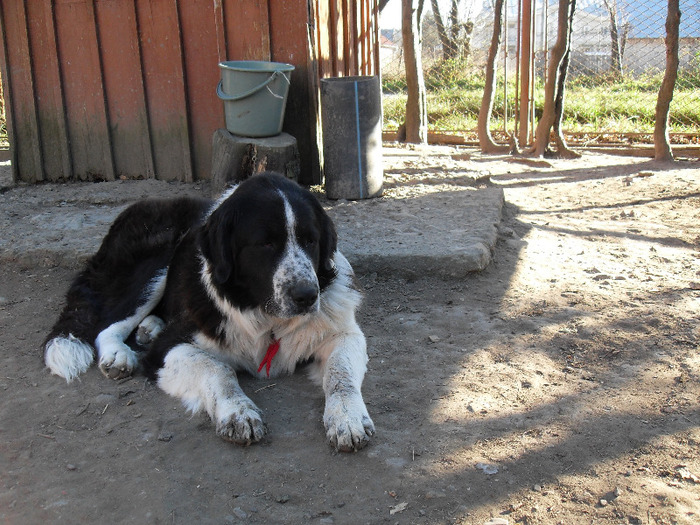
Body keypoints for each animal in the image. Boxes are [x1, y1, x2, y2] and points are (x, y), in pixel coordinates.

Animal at [43, 172, 374, 450]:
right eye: (266, 243)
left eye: (310, 240)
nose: (307, 295)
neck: (266, 320)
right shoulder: (168, 350)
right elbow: (217, 368)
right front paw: (238, 412)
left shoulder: (343, 334)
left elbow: (340, 374)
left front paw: (347, 418)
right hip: (157, 260)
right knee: (107, 325)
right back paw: (118, 354)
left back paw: (150, 328)